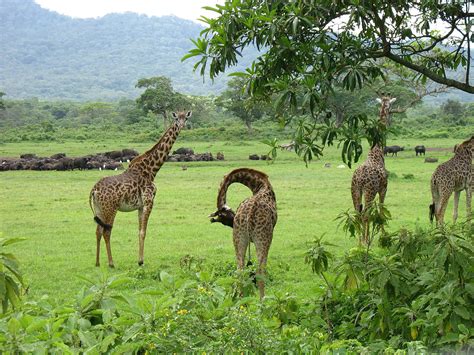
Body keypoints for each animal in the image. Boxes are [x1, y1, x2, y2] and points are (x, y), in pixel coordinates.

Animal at [90, 110, 192, 268]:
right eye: (176, 119)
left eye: (185, 118)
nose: (181, 126)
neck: (151, 170)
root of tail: (94, 190)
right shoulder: (149, 202)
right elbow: (144, 231)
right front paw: (141, 261)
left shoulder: (139, 205)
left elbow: (139, 231)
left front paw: (139, 259)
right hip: (110, 208)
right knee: (107, 232)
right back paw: (111, 263)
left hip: (99, 209)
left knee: (98, 231)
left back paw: (97, 262)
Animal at [208, 168, 278, 298]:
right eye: (227, 215)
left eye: (223, 218)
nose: (232, 221)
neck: (259, 184)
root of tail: (249, 215)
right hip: (264, 239)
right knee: (259, 271)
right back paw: (262, 300)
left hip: (238, 238)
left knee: (240, 270)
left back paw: (240, 299)